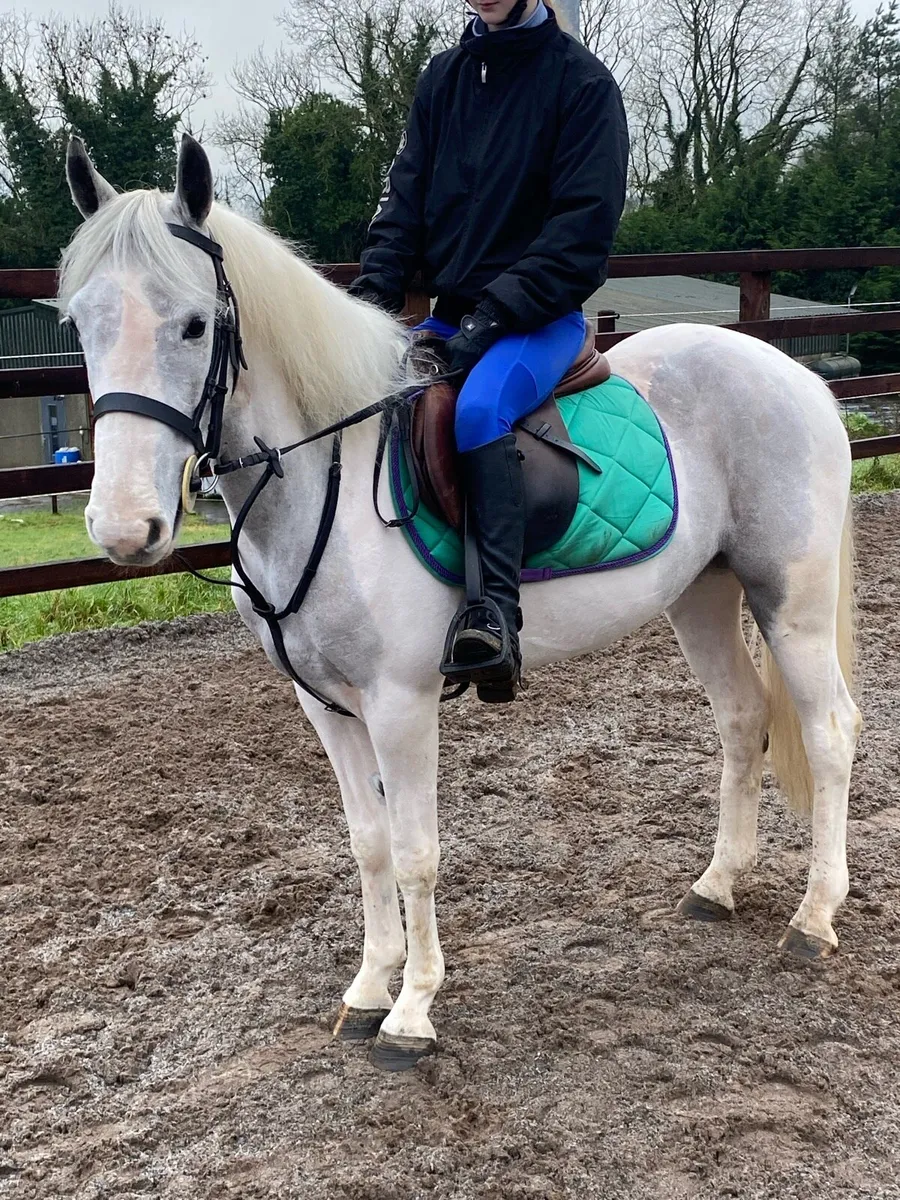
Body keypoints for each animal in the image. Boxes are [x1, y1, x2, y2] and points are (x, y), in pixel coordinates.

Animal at [61, 134, 860, 1071]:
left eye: (195, 324)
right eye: (79, 323)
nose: (124, 528)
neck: (325, 476)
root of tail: (795, 373)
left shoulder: (401, 704)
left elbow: (415, 853)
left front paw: (411, 1012)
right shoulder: (324, 703)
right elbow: (367, 843)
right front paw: (368, 988)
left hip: (790, 599)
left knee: (829, 733)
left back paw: (814, 918)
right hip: (702, 594)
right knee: (742, 720)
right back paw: (717, 886)